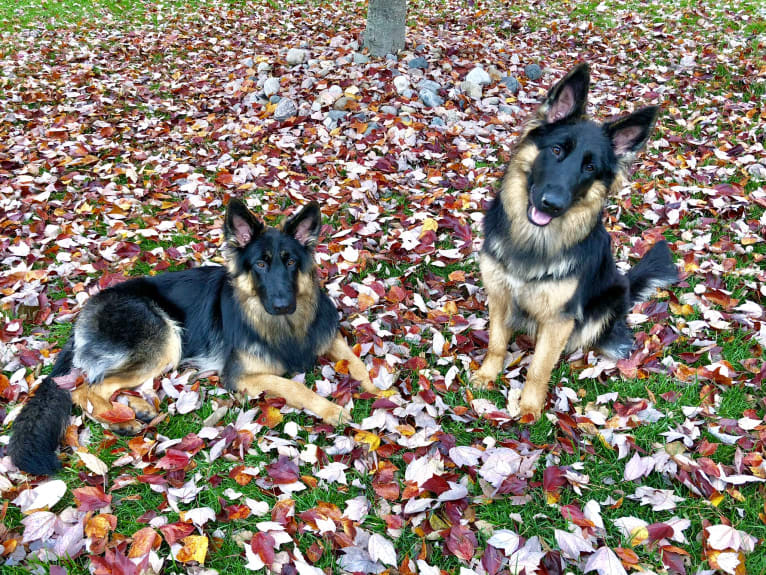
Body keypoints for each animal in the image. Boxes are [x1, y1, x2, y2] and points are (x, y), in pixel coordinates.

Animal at [8, 200, 376, 474]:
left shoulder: (327, 336)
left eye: (290, 262)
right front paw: (332, 410)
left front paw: (379, 389)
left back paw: (136, 408)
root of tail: (88, 308)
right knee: (84, 388)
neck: (285, 326)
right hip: (166, 340)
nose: (283, 304)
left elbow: (357, 362)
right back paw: (121, 422)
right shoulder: (241, 377)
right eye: (260, 264)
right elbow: (294, 386)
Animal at [474, 63, 680, 420]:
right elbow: (496, 343)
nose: (551, 204)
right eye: (557, 150)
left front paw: (529, 408)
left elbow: (539, 367)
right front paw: (488, 374)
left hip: (607, 301)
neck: (534, 240)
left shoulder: (559, 320)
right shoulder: (499, 295)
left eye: (590, 167)